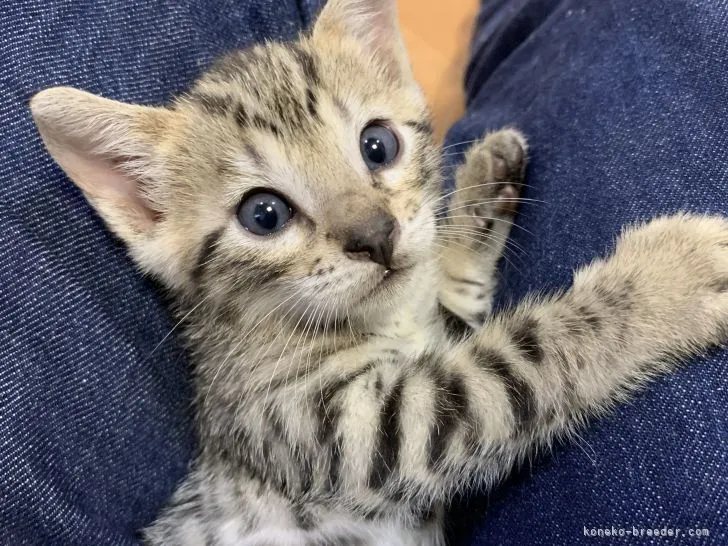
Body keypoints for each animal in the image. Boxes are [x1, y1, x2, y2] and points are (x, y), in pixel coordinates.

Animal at [31, 1, 728, 544]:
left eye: (378, 145)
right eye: (263, 214)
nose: (375, 236)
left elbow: (459, 300)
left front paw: (481, 188)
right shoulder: (336, 425)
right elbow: (513, 361)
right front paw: (671, 278)